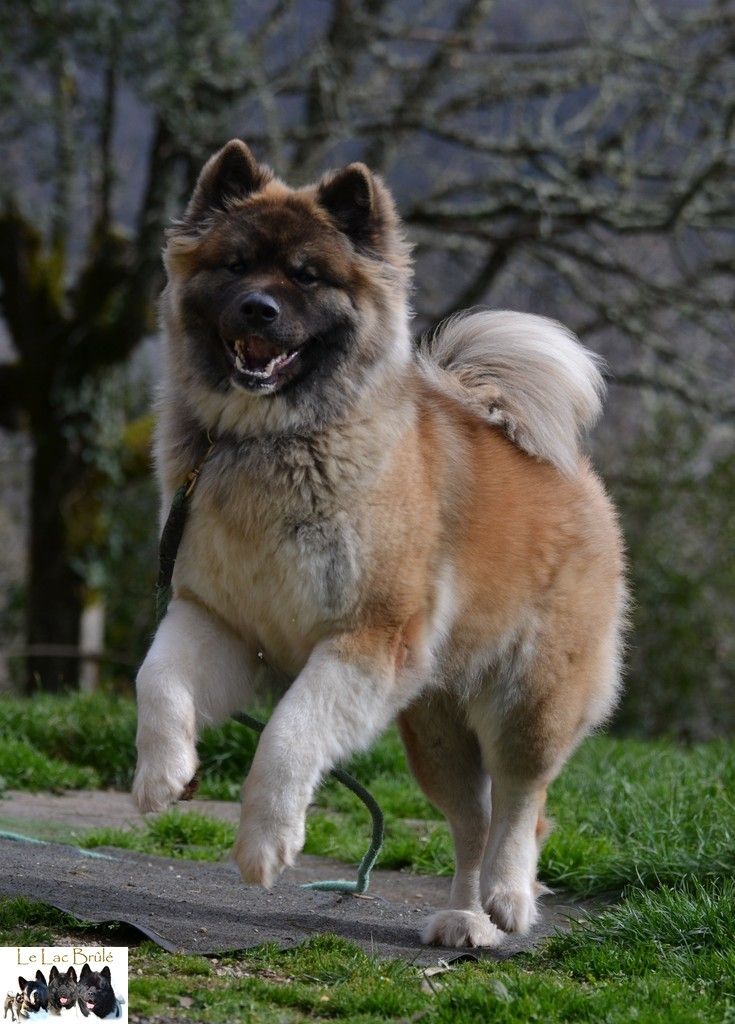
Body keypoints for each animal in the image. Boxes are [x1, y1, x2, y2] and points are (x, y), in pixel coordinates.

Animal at [133, 139, 626, 948]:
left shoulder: (367, 638)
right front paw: (160, 772)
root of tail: (573, 472)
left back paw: (507, 898)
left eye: (306, 276)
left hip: (528, 699)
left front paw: (266, 841)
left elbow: (289, 734)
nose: (259, 308)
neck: (268, 441)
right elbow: (158, 678)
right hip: (434, 730)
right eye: (235, 265)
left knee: (521, 805)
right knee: (471, 821)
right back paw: (462, 918)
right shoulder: (219, 619)